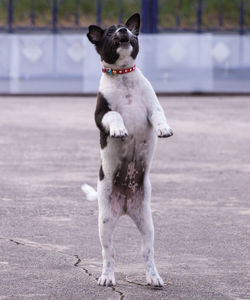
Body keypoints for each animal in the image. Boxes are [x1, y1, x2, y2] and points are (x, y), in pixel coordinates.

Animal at [82, 12, 174, 288]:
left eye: (125, 29)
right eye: (110, 32)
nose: (124, 30)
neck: (123, 75)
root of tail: (124, 208)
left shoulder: (152, 108)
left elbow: (159, 117)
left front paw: (164, 130)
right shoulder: (102, 114)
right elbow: (115, 116)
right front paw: (120, 130)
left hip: (146, 223)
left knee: (147, 252)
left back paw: (153, 277)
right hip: (105, 223)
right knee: (109, 253)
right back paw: (106, 277)